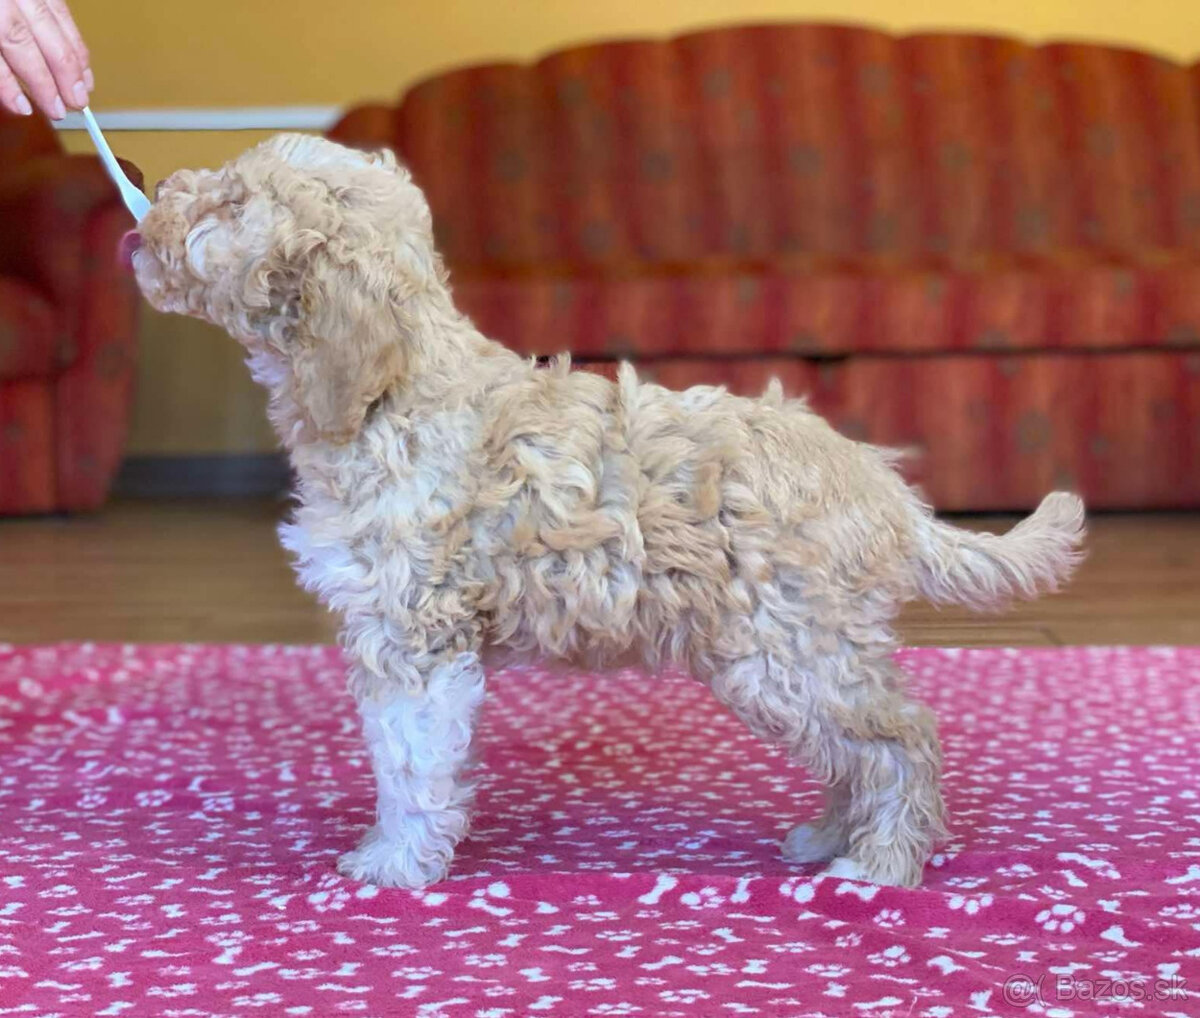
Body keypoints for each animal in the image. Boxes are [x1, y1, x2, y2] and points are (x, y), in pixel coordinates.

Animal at [129, 133, 1089, 883]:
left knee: (899, 738)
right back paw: (830, 835)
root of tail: (877, 483)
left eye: (231, 199)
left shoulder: (416, 637)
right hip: (791, 653)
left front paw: (395, 862)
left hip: (786, 649)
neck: (390, 393)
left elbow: (409, 760)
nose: (147, 206)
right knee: (860, 744)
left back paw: (883, 862)